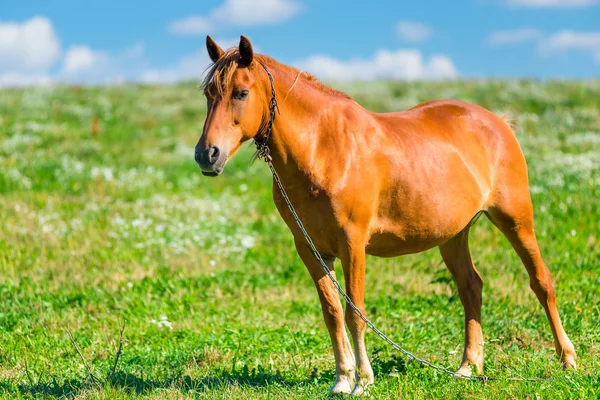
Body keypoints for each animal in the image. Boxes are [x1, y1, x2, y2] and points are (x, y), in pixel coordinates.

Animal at [196, 36, 576, 396]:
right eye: (208, 94)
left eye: (242, 92)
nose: (206, 154)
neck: (324, 148)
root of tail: (498, 121)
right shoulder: (309, 248)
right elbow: (332, 313)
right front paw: (341, 379)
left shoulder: (352, 245)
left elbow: (355, 312)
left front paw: (363, 381)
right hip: (454, 235)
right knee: (471, 287)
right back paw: (469, 367)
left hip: (515, 218)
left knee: (541, 282)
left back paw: (567, 360)